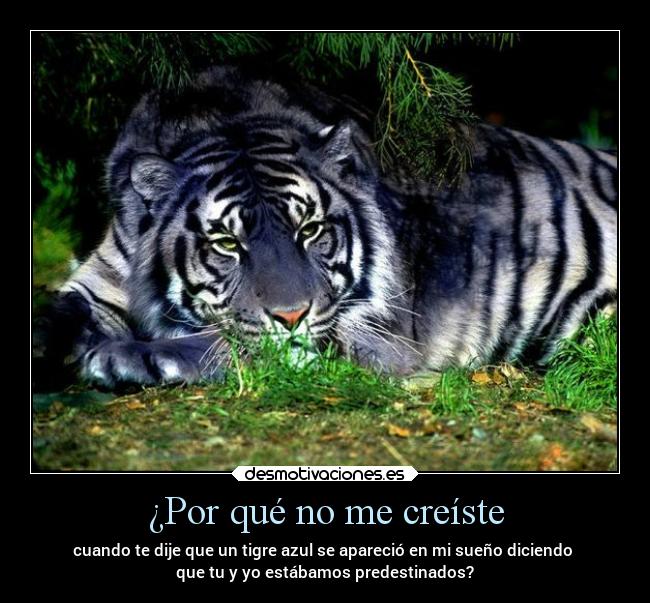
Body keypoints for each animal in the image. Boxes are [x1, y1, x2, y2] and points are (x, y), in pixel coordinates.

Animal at [35, 66, 617, 389]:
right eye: (226, 243)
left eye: (311, 230)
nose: (292, 315)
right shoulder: (98, 281)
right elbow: (60, 310)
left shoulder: (366, 332)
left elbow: (232, 344)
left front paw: (123, 358)